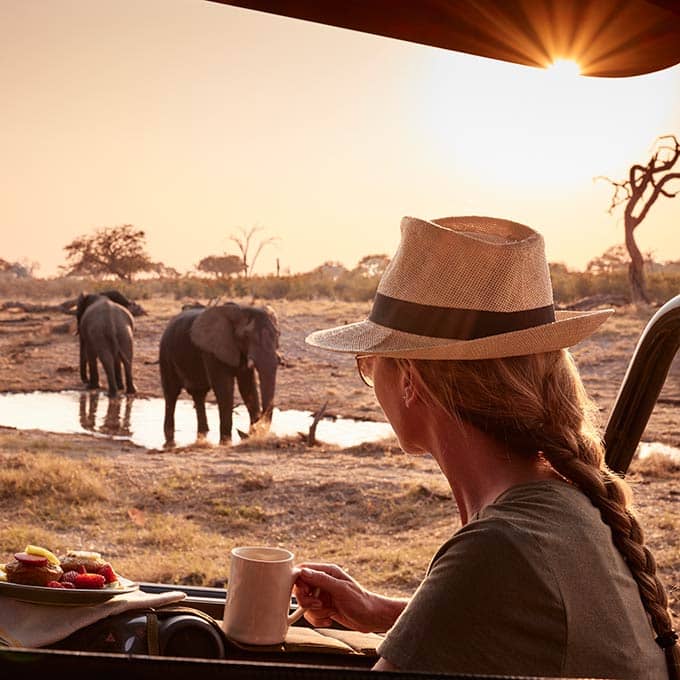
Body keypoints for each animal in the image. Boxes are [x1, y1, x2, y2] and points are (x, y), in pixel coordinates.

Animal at [161, 302, 280, 446]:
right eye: (246, 336)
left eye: (278, 335)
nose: (247, 432)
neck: (240, 311)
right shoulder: (212, 351)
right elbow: (225, 388)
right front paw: (225, 442)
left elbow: (248, 387)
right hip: (165, 353)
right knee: (171, 393)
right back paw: (170, 440)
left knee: (198, 394)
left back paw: (202, 435)